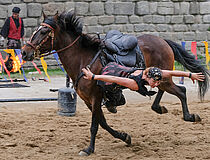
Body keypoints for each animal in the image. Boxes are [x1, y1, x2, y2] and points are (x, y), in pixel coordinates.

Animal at [20, 10, 209, 156]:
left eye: (44, 32)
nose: (24, 52)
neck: (83, 59)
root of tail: (163, 41)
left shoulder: (95, 98)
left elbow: (94, 125)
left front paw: (89, 149)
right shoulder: (88, 101)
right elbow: (102, 122)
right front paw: (124, 137)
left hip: (163, 78)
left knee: (181, 91)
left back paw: (189, 116)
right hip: (162, 77)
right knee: (169, 89)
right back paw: (159, 107)